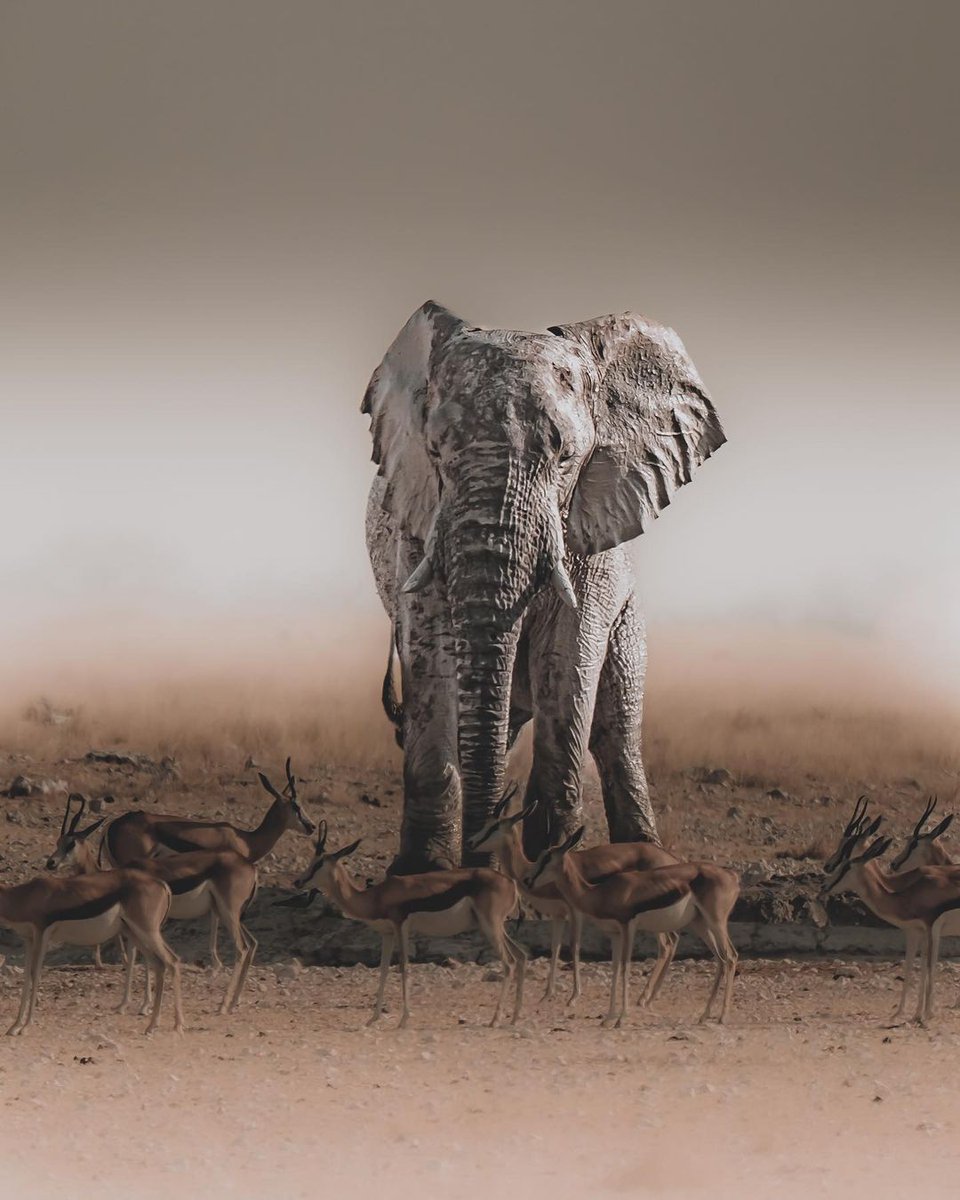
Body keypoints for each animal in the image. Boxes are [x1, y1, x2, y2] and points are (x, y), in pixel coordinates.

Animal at [362, 301, 725, 874]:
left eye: (565, 458)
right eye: (436, 453)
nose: (483, 860)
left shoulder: (592, 523)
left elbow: (570, 647)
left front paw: (555, 855)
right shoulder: (418, 522)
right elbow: (430, 643)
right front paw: (424, 872)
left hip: (629, 620)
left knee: (616, 724)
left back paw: (644, 857)